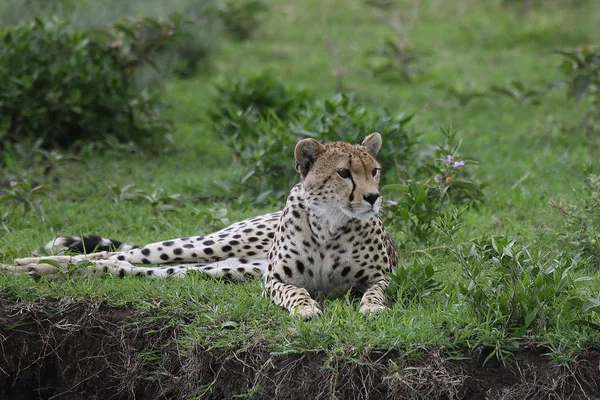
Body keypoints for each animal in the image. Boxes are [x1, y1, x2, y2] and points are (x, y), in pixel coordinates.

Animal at [4, 134, 398, 318]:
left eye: (374, 170)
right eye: (344, 173)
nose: (373, 197)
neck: (330, 223)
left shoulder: (381, 276)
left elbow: (377, 292)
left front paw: (373, 308)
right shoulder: (274, 279)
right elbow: (295, 293)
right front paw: (305, 309)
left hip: (221, 269)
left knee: (119, 266)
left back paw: (33, 270)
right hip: (213, 245)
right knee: (119, 255)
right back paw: (22, 265)